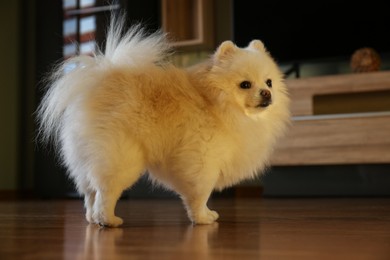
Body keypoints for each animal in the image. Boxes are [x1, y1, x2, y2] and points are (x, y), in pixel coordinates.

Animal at [37, 14, 290, 226]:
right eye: (245, 84)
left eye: (268, 82)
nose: (266, 93)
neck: (216, 104)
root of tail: (99, 82)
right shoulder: (202, 162)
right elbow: (200, 194)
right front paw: (202, 218)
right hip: (121, 158)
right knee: (105, 192)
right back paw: (108, 220)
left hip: (86, 159)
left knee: (90, 192)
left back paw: (92, 218)